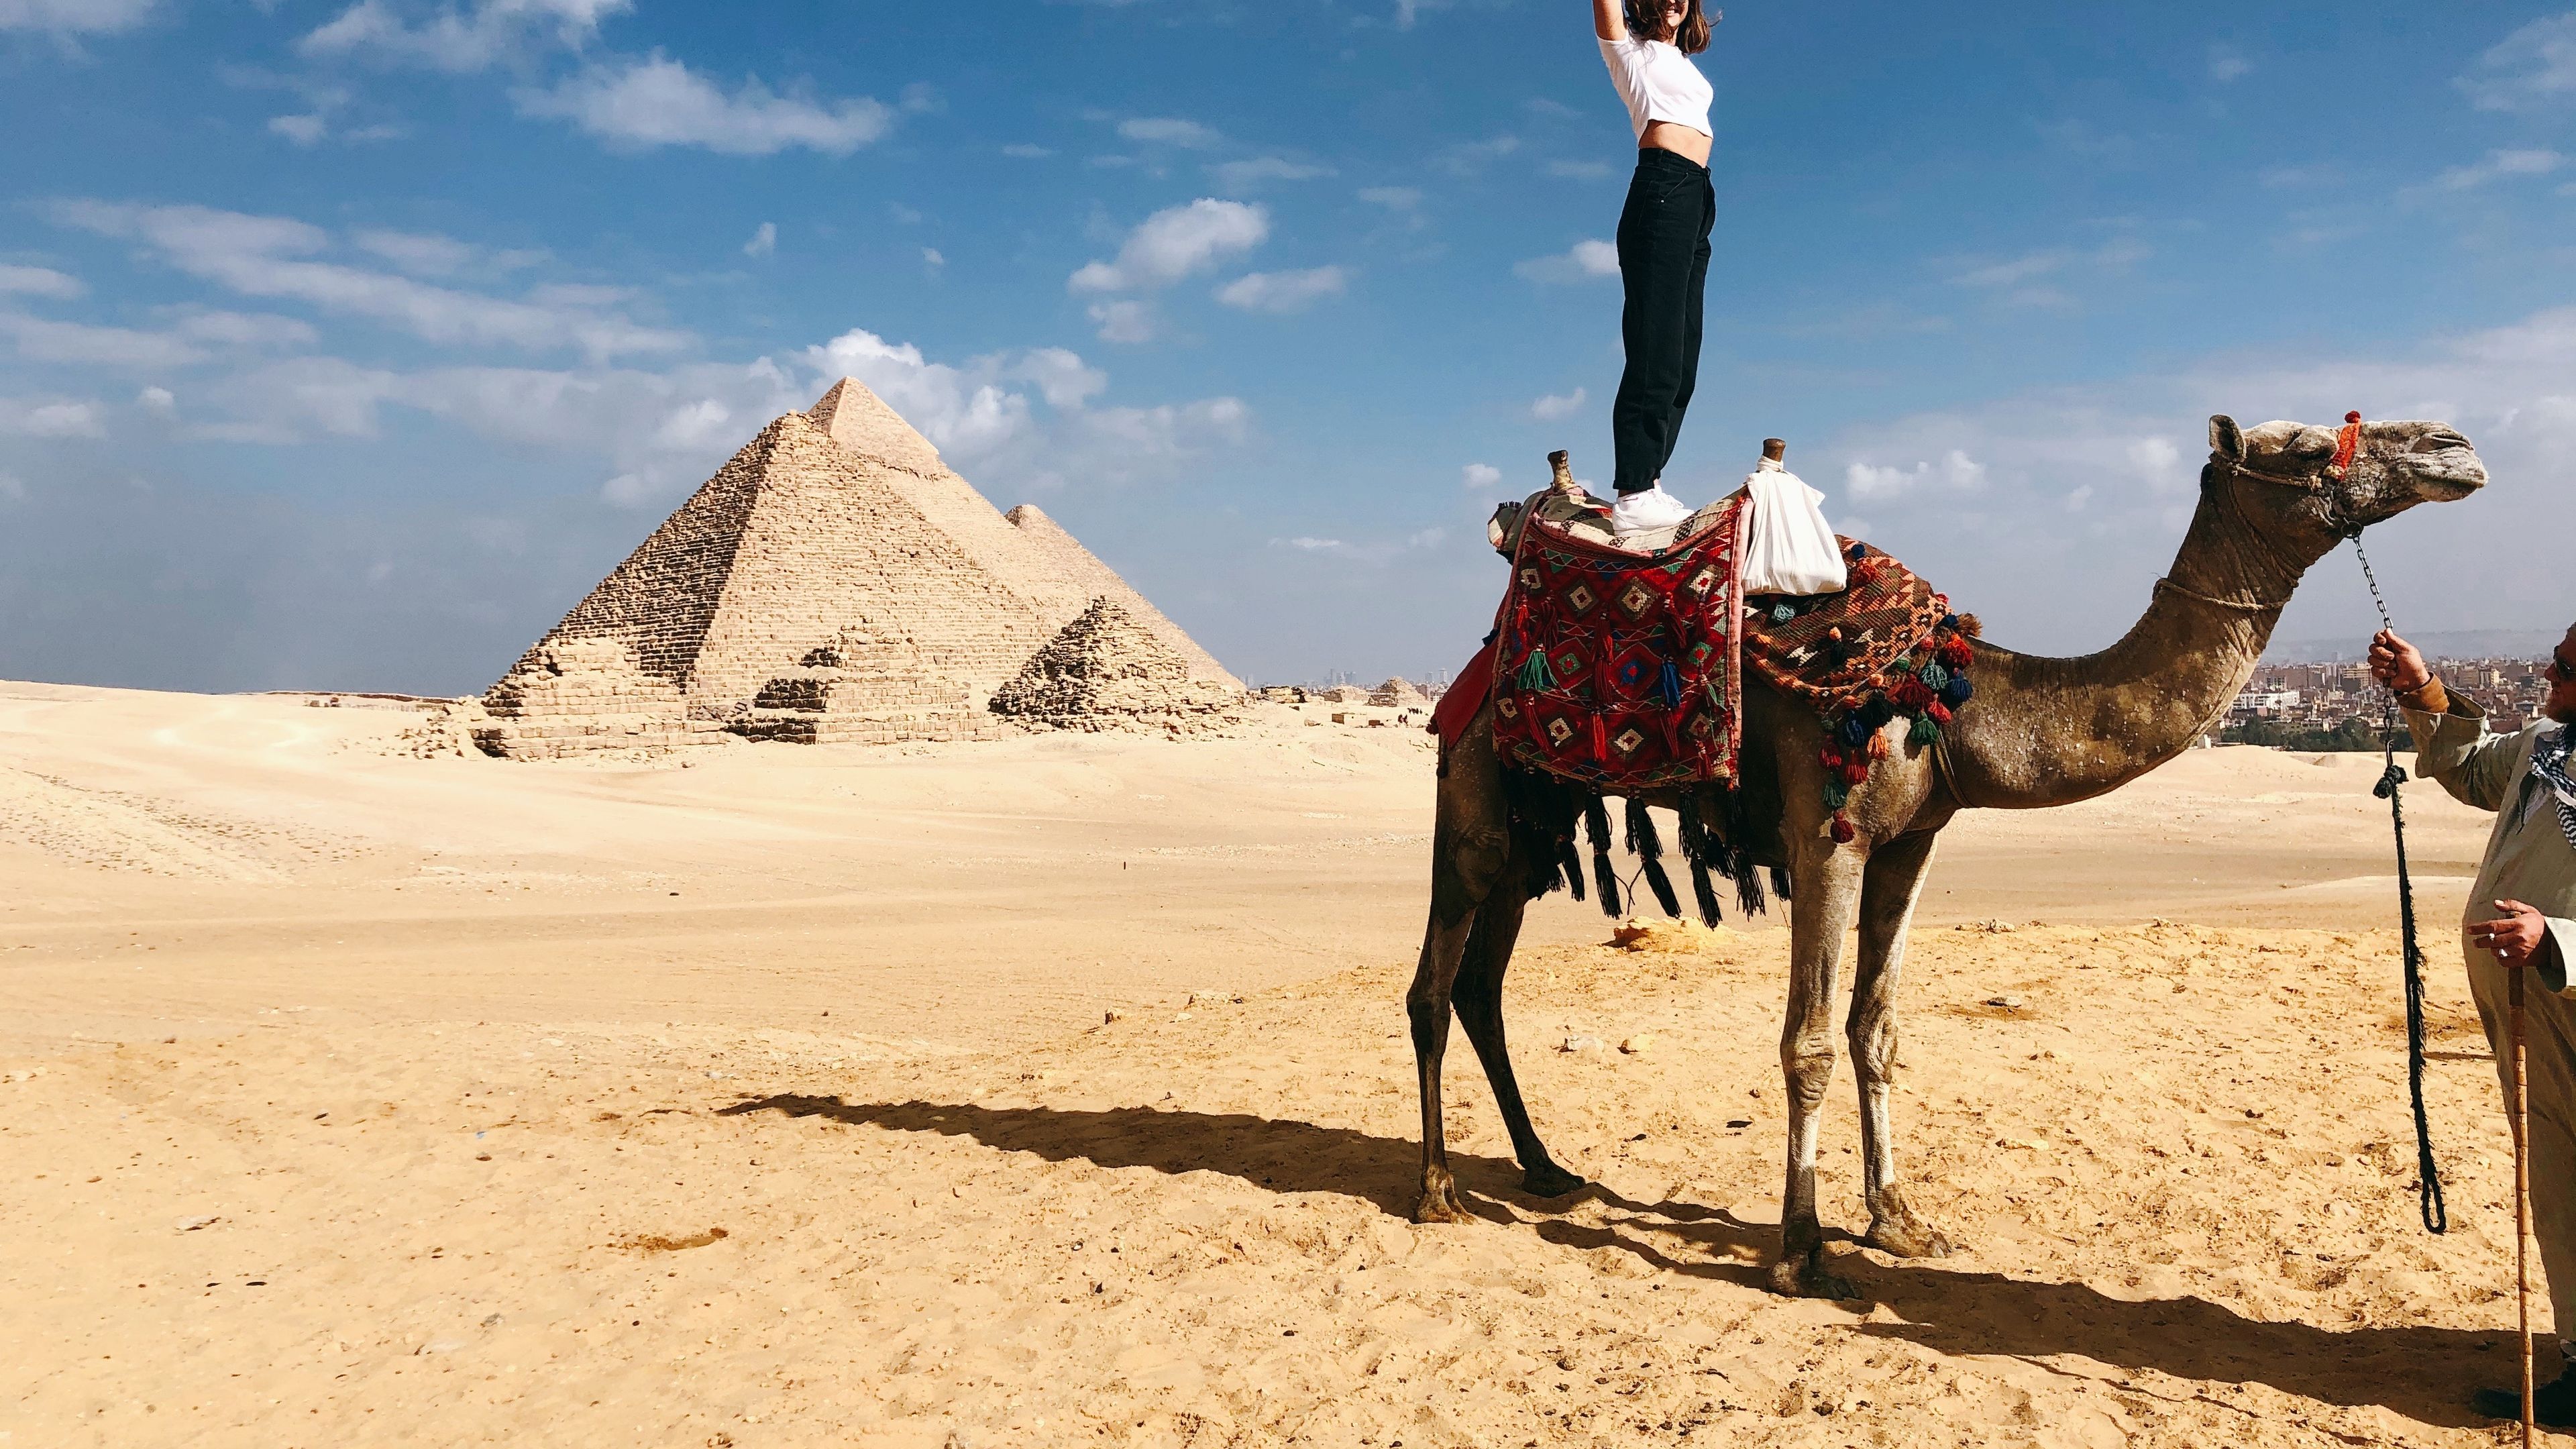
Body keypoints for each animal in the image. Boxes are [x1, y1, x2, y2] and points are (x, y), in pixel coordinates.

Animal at [1421, 412, 2483, 1289]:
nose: (2455, 448)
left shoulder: (1911, 844)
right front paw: (1801, 1250)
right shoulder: (1829, 836)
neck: (1961, 705)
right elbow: (1809, 1039)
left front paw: (1896, 1219)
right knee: (1434, 987)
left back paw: (1543, 1168)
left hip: (1538, 819)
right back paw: (1436, 1189)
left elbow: (1876, 1030)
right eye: (2304, 449)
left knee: (1482, 985)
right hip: (1473, 793)